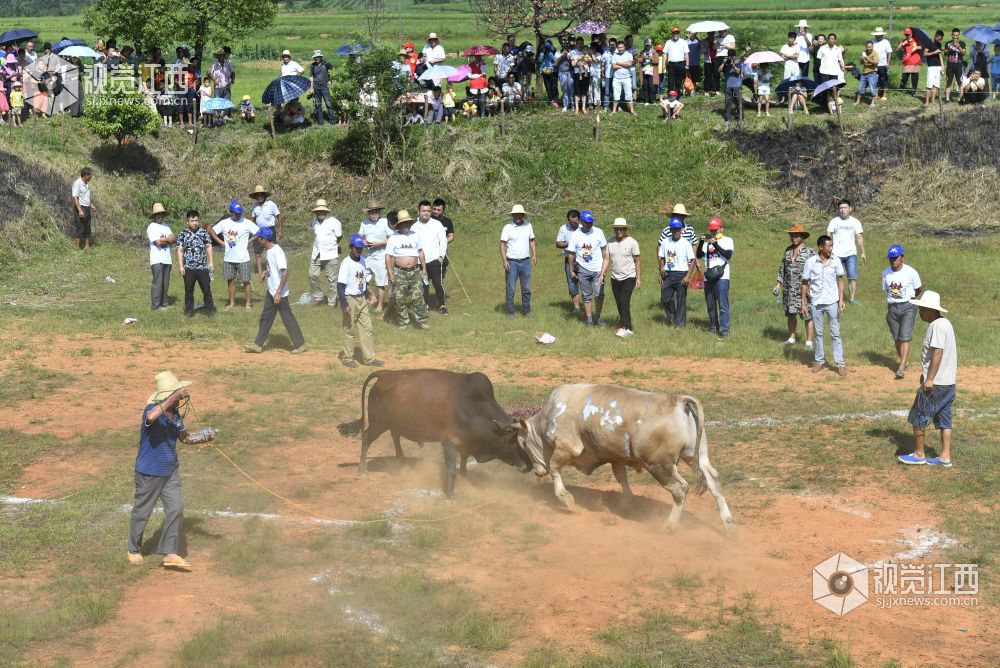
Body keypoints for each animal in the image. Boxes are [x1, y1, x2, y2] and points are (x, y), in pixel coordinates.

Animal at [516, 386, 736, 532]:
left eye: (523, 444)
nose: (536, 470)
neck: (547, 419)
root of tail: (679, 402)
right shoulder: (616, 457)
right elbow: (621, 476)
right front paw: (628, 504)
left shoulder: (566, 447)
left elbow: (555, 468)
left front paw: (566, 499)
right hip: (695, 456)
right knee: (713, 480)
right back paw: (727, 522)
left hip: (659, 464)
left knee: (680, 489)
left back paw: (670, 525)